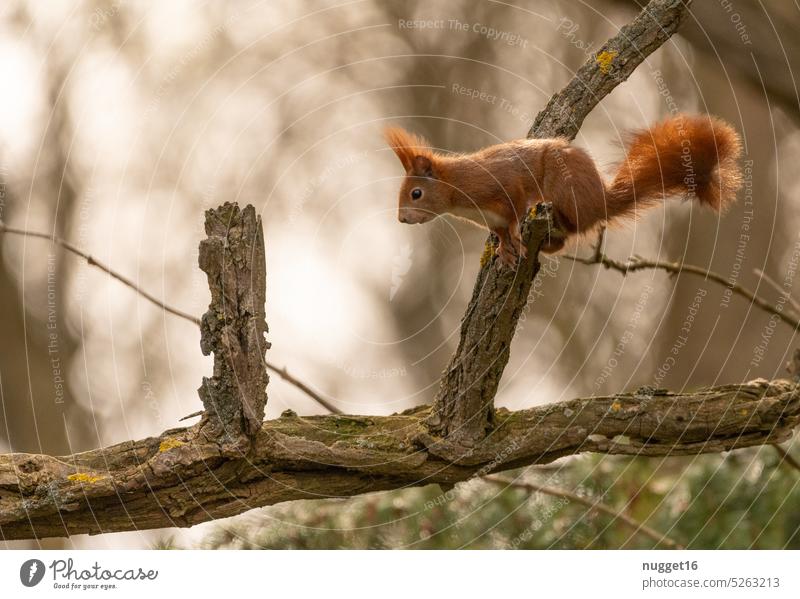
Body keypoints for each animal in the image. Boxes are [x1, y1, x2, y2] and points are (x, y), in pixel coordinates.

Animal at [384, 116, 740, 266]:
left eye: (416, 193)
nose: (401, 220)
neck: (458, 191)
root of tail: (600, 202)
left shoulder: (503, 183)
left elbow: (515, 209)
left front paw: (516, 238)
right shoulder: (491, 219)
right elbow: (500, 232)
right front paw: (504, 251)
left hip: (564, 187)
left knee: (570, 226)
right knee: (566, 239)